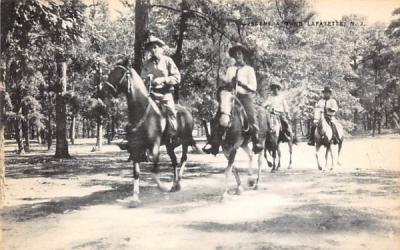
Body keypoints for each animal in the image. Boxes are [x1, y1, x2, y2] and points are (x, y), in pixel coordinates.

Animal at [106, 64, 197, 207]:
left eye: (120, 72)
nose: (105, 88)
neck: (142, 112)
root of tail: (187, 112)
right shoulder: (135, 147)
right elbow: (136, 172)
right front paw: (135, 198)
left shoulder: (155, 146)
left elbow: (154, 167)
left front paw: (162, 187)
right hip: (170, 146)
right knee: (174, 161)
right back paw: (174, 185)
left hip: (185, 141)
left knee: (183, 159)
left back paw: (178, 183)